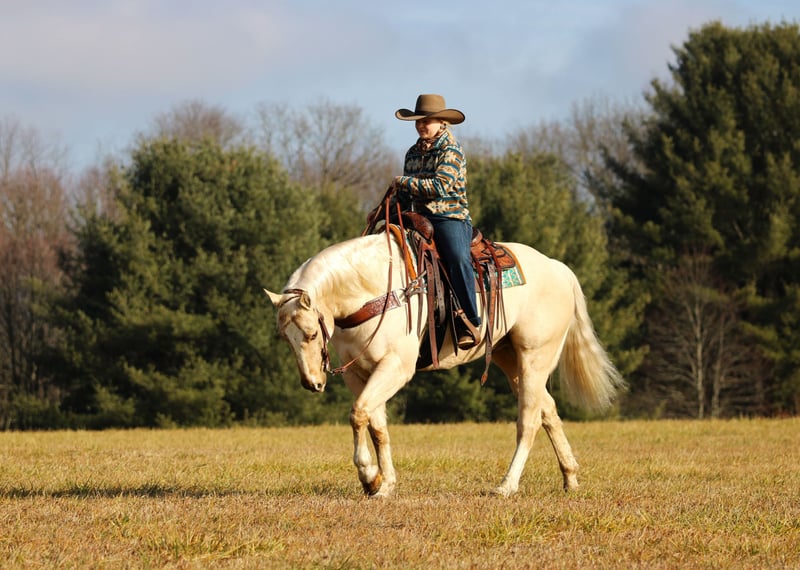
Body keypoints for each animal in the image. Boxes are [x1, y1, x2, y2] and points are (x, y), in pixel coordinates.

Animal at [264, 230, 624, 498]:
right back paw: (570, 477)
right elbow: (375, 424)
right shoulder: (360, 372)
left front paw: (369, 476)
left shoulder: (395, 367)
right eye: (285, 338)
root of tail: (557, 268)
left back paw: (507, 486)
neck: (374, 287)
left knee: (529, 421)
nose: (312, 383)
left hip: (534, 358)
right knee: (547, 411)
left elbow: (358, 415)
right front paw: (381, 483)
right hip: (511, 359)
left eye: (312, 333)